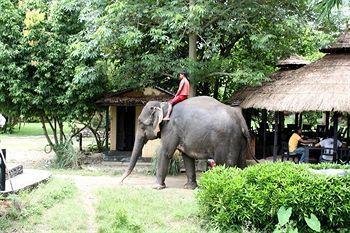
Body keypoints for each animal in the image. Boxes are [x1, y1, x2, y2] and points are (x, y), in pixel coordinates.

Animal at [120, 96, 252, 189]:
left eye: (140, 123)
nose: (120, 181)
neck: (163, 105)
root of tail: (241, 121)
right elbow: (187, 156)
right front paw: (189, 187)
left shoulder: (171, 128)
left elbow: (165, 152)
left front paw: (156, 187)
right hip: (240, 141)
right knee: (242, 163)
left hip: (226, 141)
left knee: (225, 163)